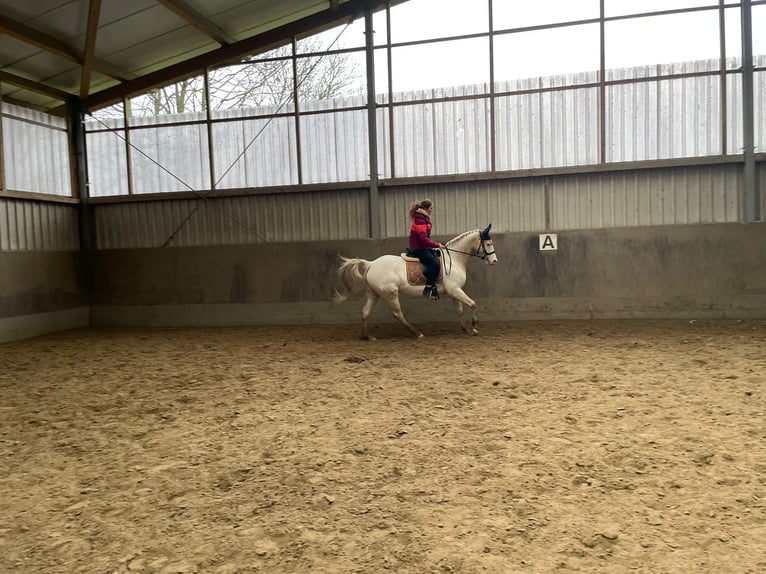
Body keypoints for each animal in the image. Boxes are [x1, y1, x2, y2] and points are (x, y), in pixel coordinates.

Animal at [334, 226, 498, 342]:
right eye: (488, 243)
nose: (494, 261)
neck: (455, 258)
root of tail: (371, 264)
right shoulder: (455, 290)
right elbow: (473, 304)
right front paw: (474, 328)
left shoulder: (454, 292)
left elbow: (460, 310)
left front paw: (465, 329)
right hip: (390, 293)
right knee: (397, 313)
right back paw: (417, 333)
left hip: (373, 294)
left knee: (365, 312)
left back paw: (367, 336)